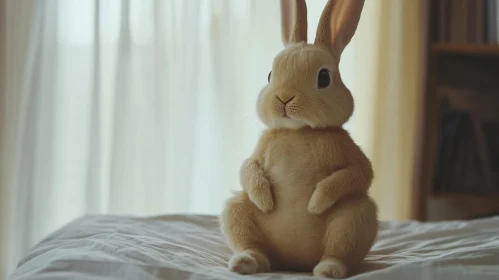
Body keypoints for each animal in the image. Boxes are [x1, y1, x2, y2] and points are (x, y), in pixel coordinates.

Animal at [220, 0, 378, 278]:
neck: (299, 130)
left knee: (339, 249)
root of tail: (294, 263)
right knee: (256, 248)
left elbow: (358, 174)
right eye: (270, 75)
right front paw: (265, 201)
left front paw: (315, 204)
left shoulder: (349, 155)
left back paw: (329, 268)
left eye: (324, 78)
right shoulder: (259, 150)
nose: (284, 97)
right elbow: (248, 168)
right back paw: (246, 261)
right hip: (236, 208)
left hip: (356, 217)